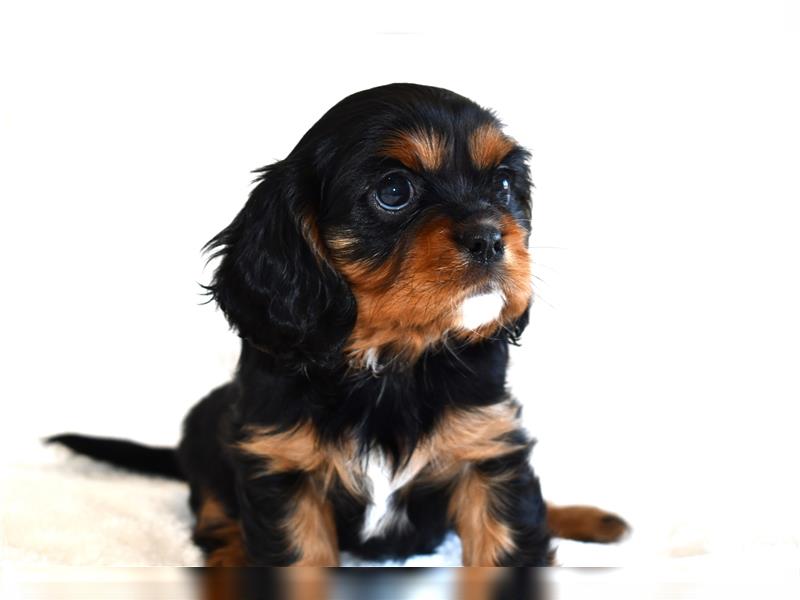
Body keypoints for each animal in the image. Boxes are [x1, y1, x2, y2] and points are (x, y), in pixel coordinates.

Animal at [50, 84, 628, 568]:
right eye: (394, 191)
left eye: (505, 184)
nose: (490, 237)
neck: (389, 363)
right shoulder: (283, 468)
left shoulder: (489, 448)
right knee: (214, 520)